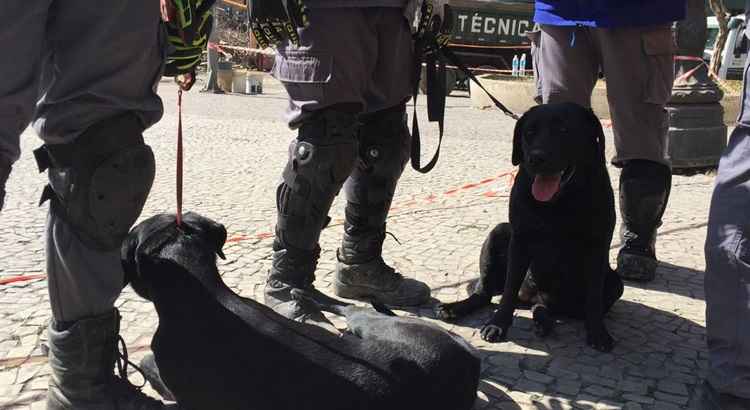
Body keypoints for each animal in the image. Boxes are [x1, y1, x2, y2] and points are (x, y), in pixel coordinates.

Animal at [123, 213, 482, 408]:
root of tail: (469, 357)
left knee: (351, 307)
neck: (204, 291)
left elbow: (148, 363)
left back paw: (307, 296)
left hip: (372, 324)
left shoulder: (182, 389)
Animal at [434, 103, 624, 352]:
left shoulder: (598, 245)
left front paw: (598, 332)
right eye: (529, 132)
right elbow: (508, 291)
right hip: (498, 233)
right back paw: (454, 307)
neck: (559, 202)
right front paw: (497, 325)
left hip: (615, 283)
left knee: (552, 307)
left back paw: (544, 320)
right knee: (486, 294)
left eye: (564, 130)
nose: (536, 158)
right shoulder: (520, 240)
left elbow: (593, 297)